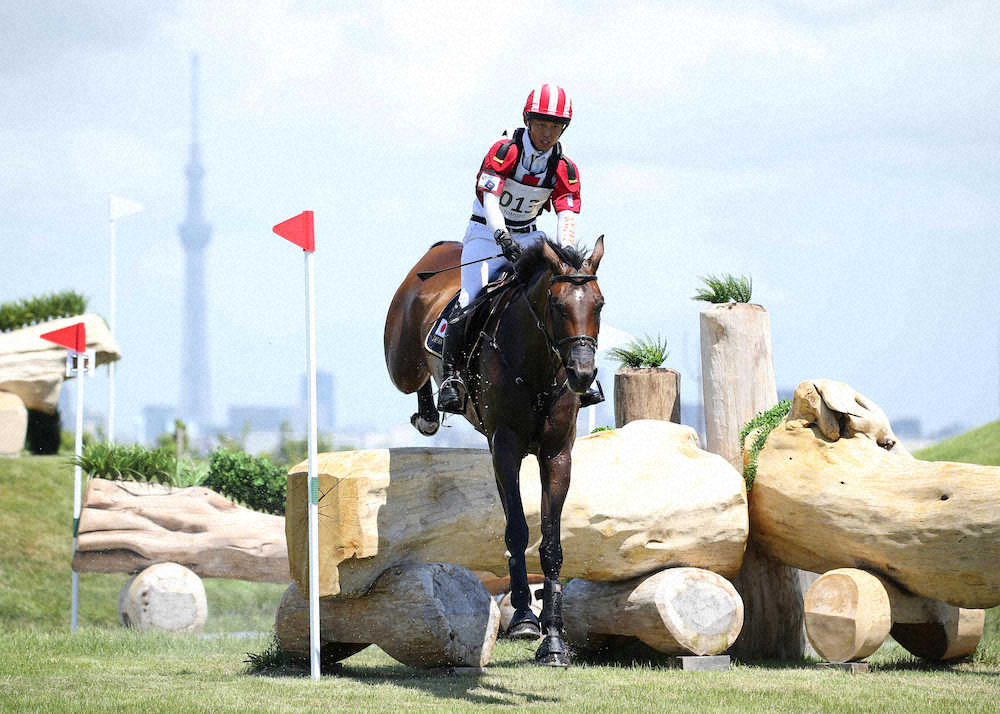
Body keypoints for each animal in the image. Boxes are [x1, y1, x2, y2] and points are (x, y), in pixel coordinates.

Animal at [380, 236, 600, 664]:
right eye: (557, 305)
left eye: (598, 304)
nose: (582, 374)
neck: (539, 368)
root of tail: (439, 250)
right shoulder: (505, 450)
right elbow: (517, 530)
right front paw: (525, 619)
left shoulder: (556, 456)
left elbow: (551, 542)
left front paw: (553, 640)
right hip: (401, 360)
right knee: (413, 376)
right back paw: (430, 412)